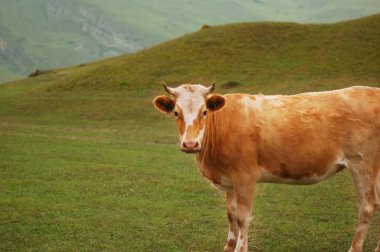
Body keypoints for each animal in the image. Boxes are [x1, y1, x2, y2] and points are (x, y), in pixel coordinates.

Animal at [152, 83, 380, 252]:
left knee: (367, 207)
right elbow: (231, 215)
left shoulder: (245, 176)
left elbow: (243, 218)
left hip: (363, 164)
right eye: (176, 113)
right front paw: (229, 247)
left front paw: (240, 248)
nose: (190, 144)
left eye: (205, 111)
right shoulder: (229, 181)